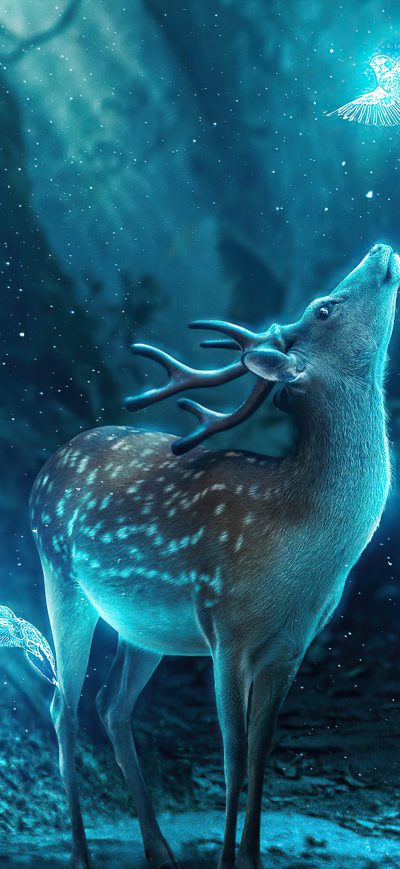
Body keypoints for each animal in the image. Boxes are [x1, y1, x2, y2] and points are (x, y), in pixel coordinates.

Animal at [29, 243, 399, 869]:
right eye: (324, 308)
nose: (379, 249)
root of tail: (45, 469)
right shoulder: (226, 625)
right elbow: (231, 755)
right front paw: (229, 860)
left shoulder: (292, 643)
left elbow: (261, 751)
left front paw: (250, 858)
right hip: (60, 575)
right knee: (64, 706)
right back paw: (81, 853)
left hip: (140, 628)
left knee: (110, 704)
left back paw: (160, 850)